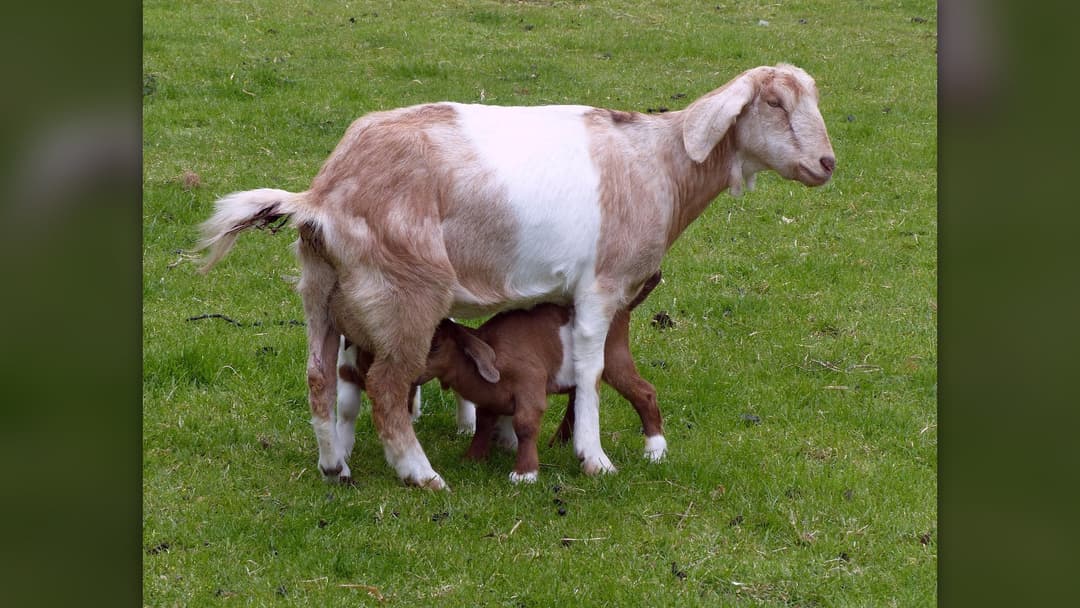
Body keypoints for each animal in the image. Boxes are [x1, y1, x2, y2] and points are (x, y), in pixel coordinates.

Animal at [198, 63, 835, 490]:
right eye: (774, 102)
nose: (827, 163)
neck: (660, 166)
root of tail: (322, 196)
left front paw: (505, 436)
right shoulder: (600, 286)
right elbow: (591, 369)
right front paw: (592, 458)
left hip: (324, 293)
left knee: (320, 377)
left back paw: (336, 465)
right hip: (406, 291)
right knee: (386, 386)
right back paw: (421, 474)